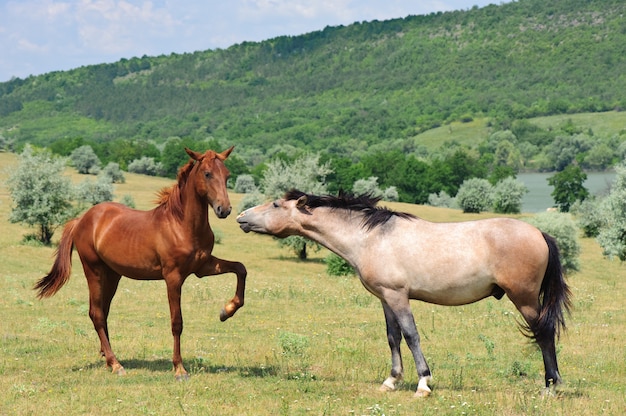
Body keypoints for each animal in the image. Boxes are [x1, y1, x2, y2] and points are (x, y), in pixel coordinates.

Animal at [34, 147, 246, 380]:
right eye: (207, 174)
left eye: (227, 175)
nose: (224, 209)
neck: (181, 224)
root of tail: (81, 220)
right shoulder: (173, 277)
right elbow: (177, 322)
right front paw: (179, 369)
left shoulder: (203, 267)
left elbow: (240, 268)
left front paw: (226, 311)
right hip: (94, 270)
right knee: (96, 314)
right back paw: (115, 364)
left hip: (112, 275)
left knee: (102, 311)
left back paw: (107, 358)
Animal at [238, 190, 572, 394]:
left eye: (275, 205)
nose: (241, 217)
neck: (371, 237)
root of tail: (540, 233)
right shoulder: (386, 298)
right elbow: (393, 337)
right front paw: (392, 380)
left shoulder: (399, 296)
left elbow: (411, 335)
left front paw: (423, 383)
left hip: (525, 299)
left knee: (544, 333)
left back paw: (550, 386)